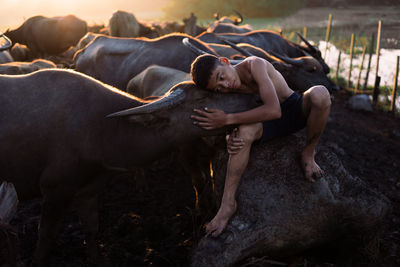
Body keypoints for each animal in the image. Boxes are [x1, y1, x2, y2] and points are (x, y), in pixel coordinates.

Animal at [0, 68, 260, 266]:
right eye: (203, 98)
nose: (256, 98)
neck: (103, 130)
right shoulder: (56, 189)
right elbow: (46, 236)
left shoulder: (90, 189)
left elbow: (91, 228)